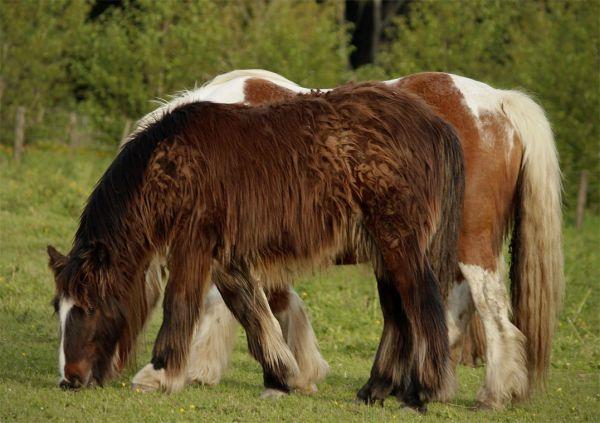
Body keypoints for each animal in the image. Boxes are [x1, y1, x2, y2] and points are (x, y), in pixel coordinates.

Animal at [49, 82, 466, 410]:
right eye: (59, 308)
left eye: (89, 307)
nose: (69, 379)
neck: (173, 161)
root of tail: (437, 126)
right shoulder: (228, 260)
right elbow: (252, 314)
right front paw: (284, 377)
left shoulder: (193, 245)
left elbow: (180, 303)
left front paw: (160, 373)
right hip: (384, 252)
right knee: (398, 315)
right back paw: (375, 389)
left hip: (399, 245)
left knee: (423, 305)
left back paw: (423, 392)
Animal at [130, 70, 564, 410]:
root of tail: (498, 103)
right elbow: (274, 303)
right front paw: (296, 372)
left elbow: (229, 304)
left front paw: (195, 369)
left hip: (469, 245)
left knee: (492, 312)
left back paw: (491, 394)